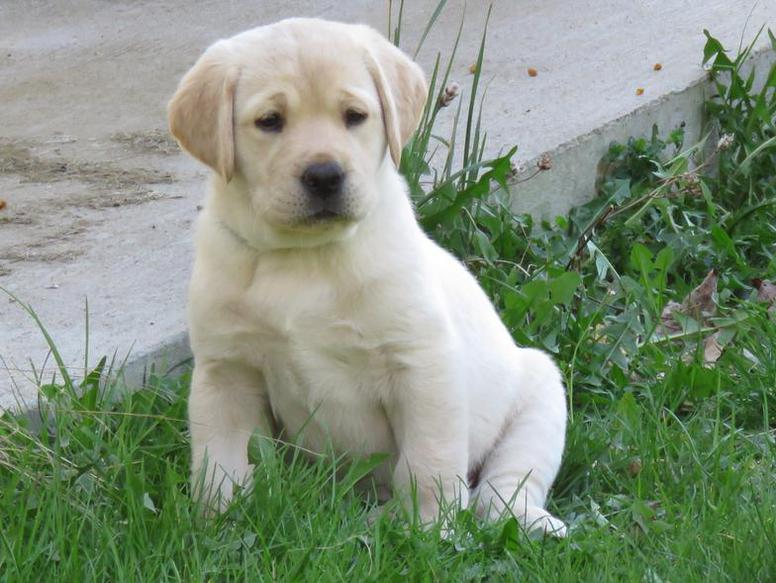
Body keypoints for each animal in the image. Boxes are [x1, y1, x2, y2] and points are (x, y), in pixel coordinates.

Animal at [170, 17, 568, 540]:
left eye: (355, 116)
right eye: (270, 121)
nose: (324, 175)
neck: (304, 257)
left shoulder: (422, 362)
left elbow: (428, 461)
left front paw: (430, 529)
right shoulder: (226, 370)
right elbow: (220, 459)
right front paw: (220, 523)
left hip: (541, 391)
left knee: (504, 485)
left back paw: (519, 519)